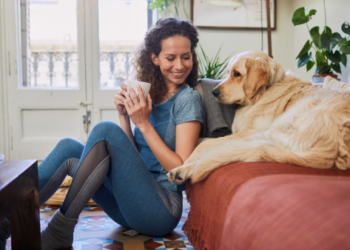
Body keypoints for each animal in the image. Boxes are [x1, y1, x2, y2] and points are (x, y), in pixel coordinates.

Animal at [167, 49, 350, 185]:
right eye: (228, 73)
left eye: (237, 74)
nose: (214, 92)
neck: (263, 92)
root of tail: (333, 148)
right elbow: (204, 140)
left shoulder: (248, 132)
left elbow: (205, 145)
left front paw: (185, 162)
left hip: (273, 130)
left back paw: (181, 171)